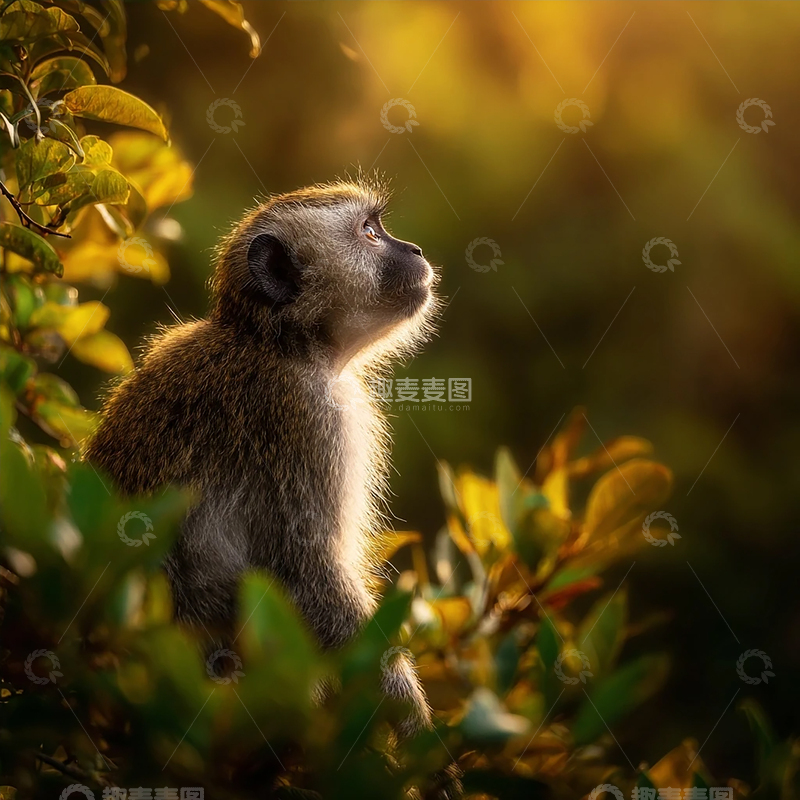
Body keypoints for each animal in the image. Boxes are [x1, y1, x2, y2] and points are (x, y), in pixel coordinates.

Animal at [85, 178, 439, 740]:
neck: (279, 343)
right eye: (369, 232)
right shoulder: (309, 424)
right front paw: (414, 730)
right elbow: (307, 572)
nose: (417, 251)